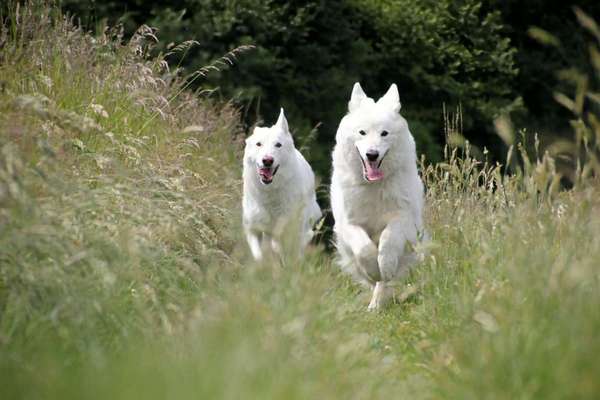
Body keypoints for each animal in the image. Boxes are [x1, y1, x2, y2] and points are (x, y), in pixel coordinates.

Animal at [243, 108, 322, 260]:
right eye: (258, 144)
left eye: (278, 145)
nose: (267, 160)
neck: (270, 192)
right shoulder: (253, 229)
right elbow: (259, 256)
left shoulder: (291, 232)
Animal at [330, 83, 424, 310]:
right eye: (362, 132)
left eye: (384, 133)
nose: (372, 154)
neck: (373, 185)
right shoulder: (349, 224)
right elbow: (364, 249)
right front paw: (373, 268)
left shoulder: (403, 218)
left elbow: (389, 240)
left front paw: (385, 265)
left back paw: (377, 303)